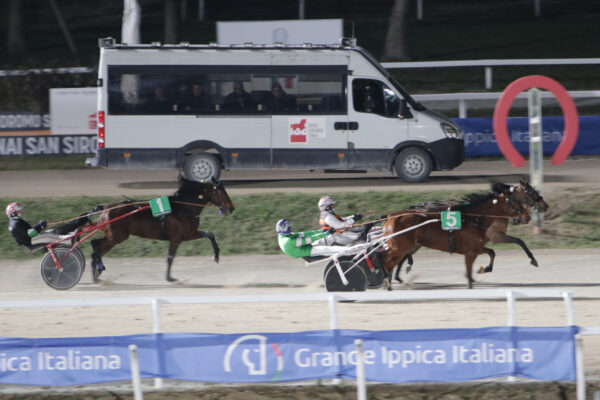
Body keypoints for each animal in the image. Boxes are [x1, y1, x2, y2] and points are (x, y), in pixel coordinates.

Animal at [91, 177, 234, 282]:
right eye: (221, 191)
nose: (231, 208)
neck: (184, 208)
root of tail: (105, 209)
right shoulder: (181, 237)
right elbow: (170, 257)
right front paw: (169, 278)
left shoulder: (186, 235)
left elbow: (210, 234)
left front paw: (216, 255)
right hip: (116, 237)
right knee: (95, 245)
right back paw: (98, 269)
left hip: (114, 238)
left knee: (98, 250)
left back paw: (96, 273)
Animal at [392, 180, 548, 286]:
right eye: (531, 192)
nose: (545, 206)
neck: (478, 216)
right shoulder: (495, 236)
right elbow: (518, 241)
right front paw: (532, 259)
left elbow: (503, 247)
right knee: (403, 254)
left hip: (417, 243)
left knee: (405, 255)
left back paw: (399, 276)